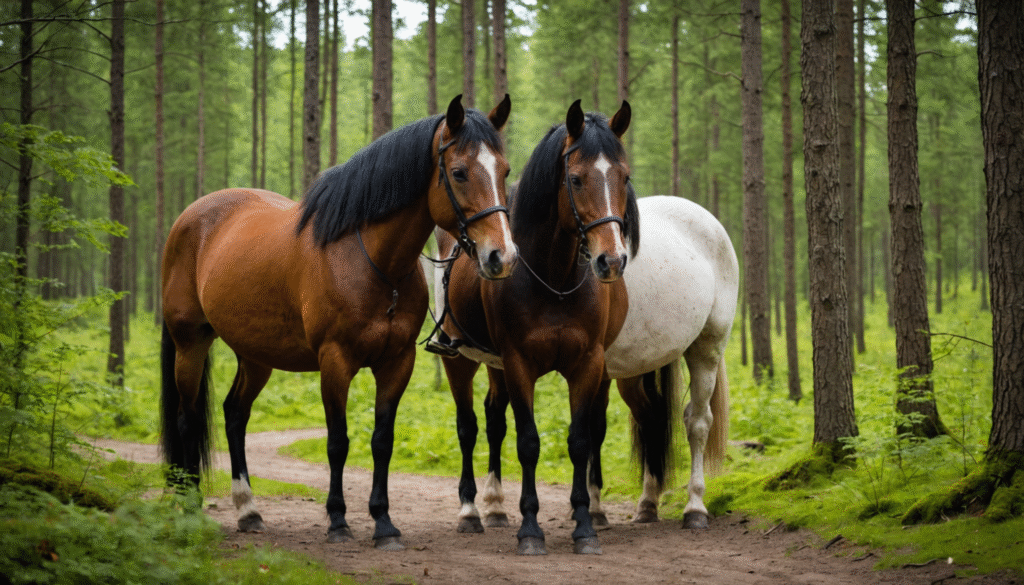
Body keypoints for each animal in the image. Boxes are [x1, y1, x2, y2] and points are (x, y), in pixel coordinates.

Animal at [159, 95, 517, 551]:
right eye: (458, 172)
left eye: (504, 171)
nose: (501, 256)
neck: (372, 262)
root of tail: (188, 218)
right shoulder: (335, 361)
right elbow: (337, 442)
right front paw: (338, 520)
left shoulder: (396, 363)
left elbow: (382, 441)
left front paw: (384, 523)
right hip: (190, 342)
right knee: (187, 419)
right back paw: (189, 506)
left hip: (255, 355)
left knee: (235, 415)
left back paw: (248, 510)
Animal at [428, 100, 638, 555]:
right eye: (575, 179)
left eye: (624, 176)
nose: (611, 261)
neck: (554, 281)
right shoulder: (519, 363)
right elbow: (527, 442)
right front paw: (530, 529)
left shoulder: (587, 364)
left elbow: (579, 441)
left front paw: (584, 526)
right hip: (462, 360)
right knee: (469, 427)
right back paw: (471, 511)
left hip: (499, 366)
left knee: (494, 419)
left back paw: (495, 507)